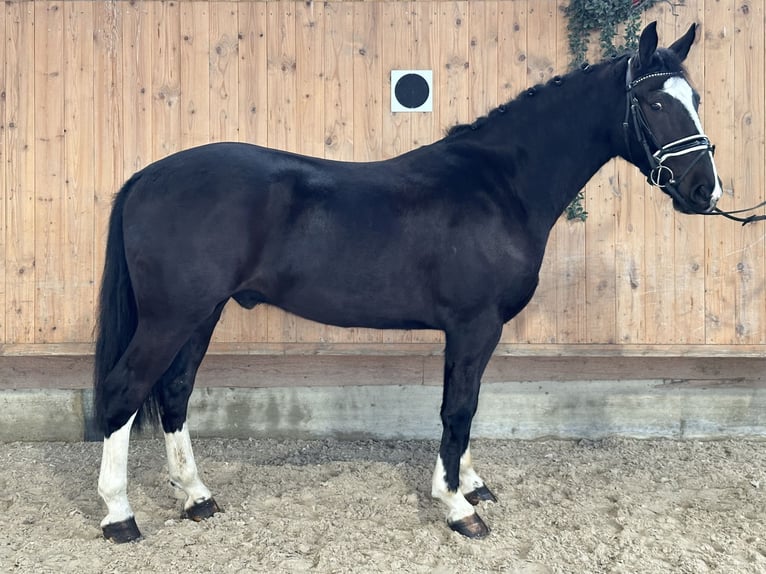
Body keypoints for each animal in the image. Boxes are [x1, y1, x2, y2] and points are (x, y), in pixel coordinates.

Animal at [94, 23, 720, 544]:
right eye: (653, 101)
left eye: (696, 100)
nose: (703, 190)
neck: (499, 185)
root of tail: (146, 176)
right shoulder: (474, 326)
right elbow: (458, 408)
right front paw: (458, 506)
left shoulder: (473, 331)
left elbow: (467, 405)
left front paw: (470, 484)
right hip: (172, 316)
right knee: (125, 390)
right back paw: (119, 516)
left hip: (203, 313)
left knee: (174, 391)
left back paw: (196, 497)